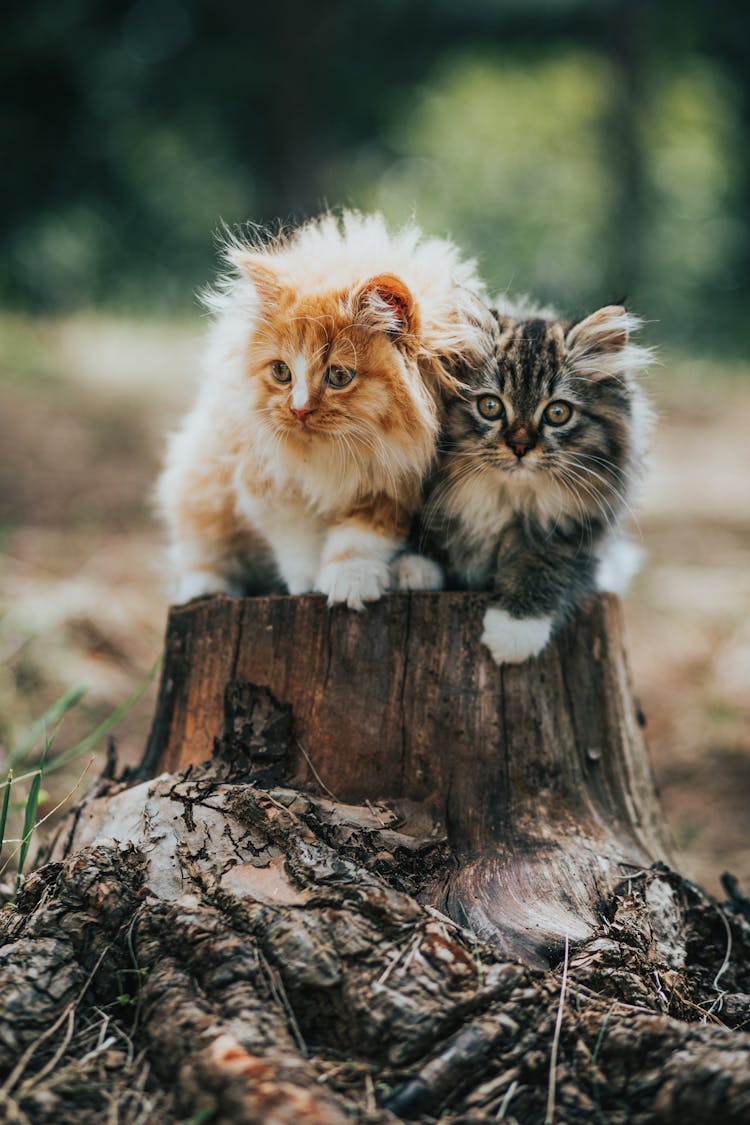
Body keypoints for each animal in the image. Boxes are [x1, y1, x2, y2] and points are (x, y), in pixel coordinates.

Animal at [157, 214, 488, 612]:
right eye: (281, 372)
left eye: (339, 376)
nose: (299, 410)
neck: (333, 456)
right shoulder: (267, 479)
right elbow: (297, 541)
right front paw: (309, 584)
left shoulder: (394, 480)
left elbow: (360, 538)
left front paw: (350, 581)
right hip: (199, 480)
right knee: (202, 551)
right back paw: (203, 589)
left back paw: (413, 572)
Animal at [411, 303, 652, 661]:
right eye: (490, 406)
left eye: (557, 413)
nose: (520, 447)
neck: (506, 497)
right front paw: (413, 568)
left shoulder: (577, 539)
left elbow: (543, 566)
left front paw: (513, 630)